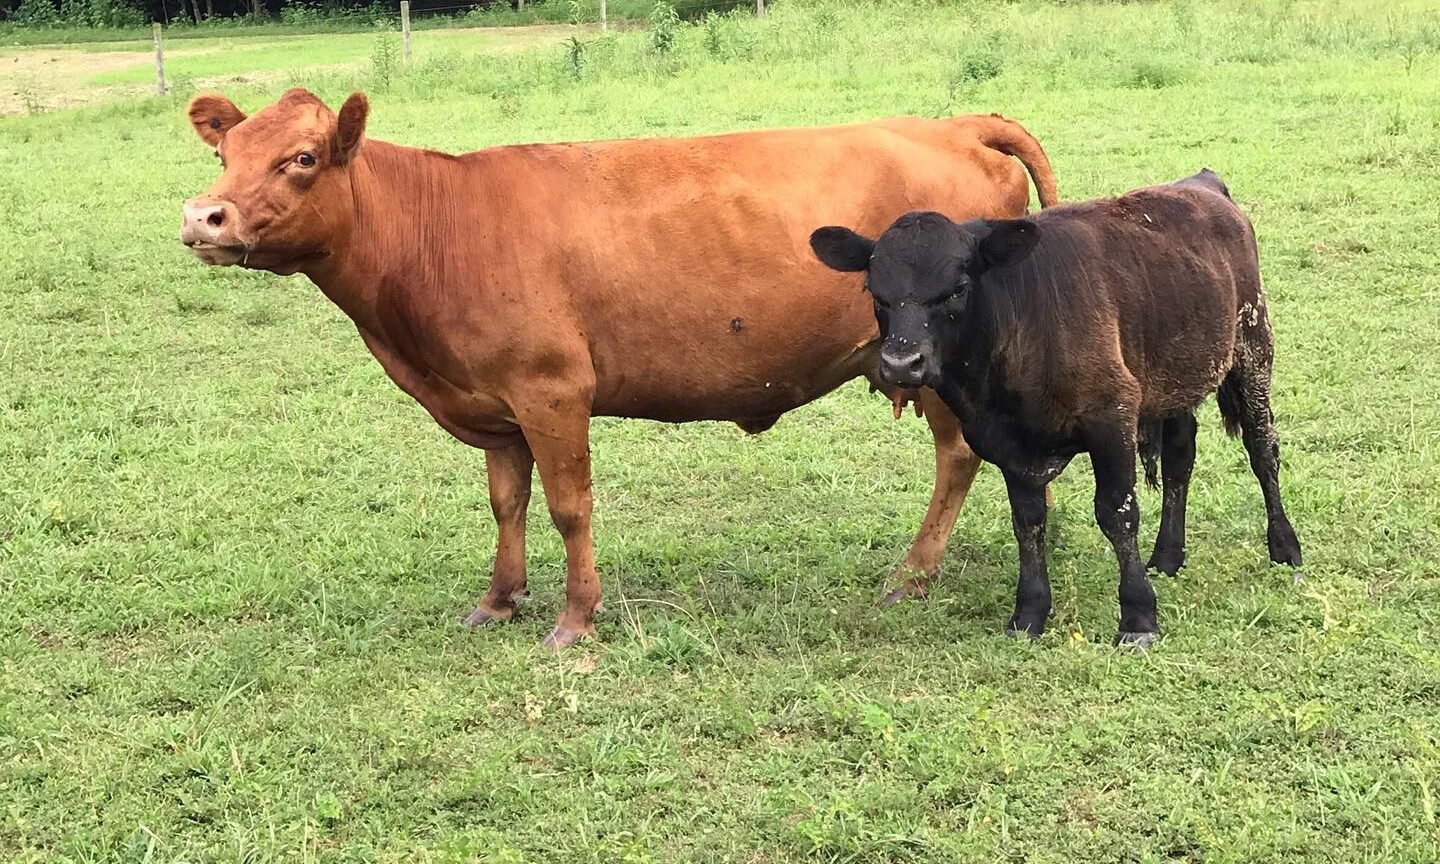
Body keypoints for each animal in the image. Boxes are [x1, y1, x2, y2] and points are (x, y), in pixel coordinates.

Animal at [179, 88, 1059, 649]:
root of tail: (954, 126)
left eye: (302, 157)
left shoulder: (551, 390)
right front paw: (498, 601)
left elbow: (569, 507)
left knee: (958, 456)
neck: (443, 226)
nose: (202, 215)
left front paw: (575, 619)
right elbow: (507, 504)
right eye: (223, 151)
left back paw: (913, 574)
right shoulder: (497, 406)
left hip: (940, 364)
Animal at [810, 169, 1302, 647]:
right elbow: (1028, 523)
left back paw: (1284, 546)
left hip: (1252, 350)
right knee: (1181, 456)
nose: (901, 362)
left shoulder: (1113, 416)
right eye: (875, 291)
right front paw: (1028, 614)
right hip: (1172, 380)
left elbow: (1117, 513)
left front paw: (1139, 615)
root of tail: (1202, 183)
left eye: (958, 288)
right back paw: (1167, 555)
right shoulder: (1005, 444)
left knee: (1263, 449)